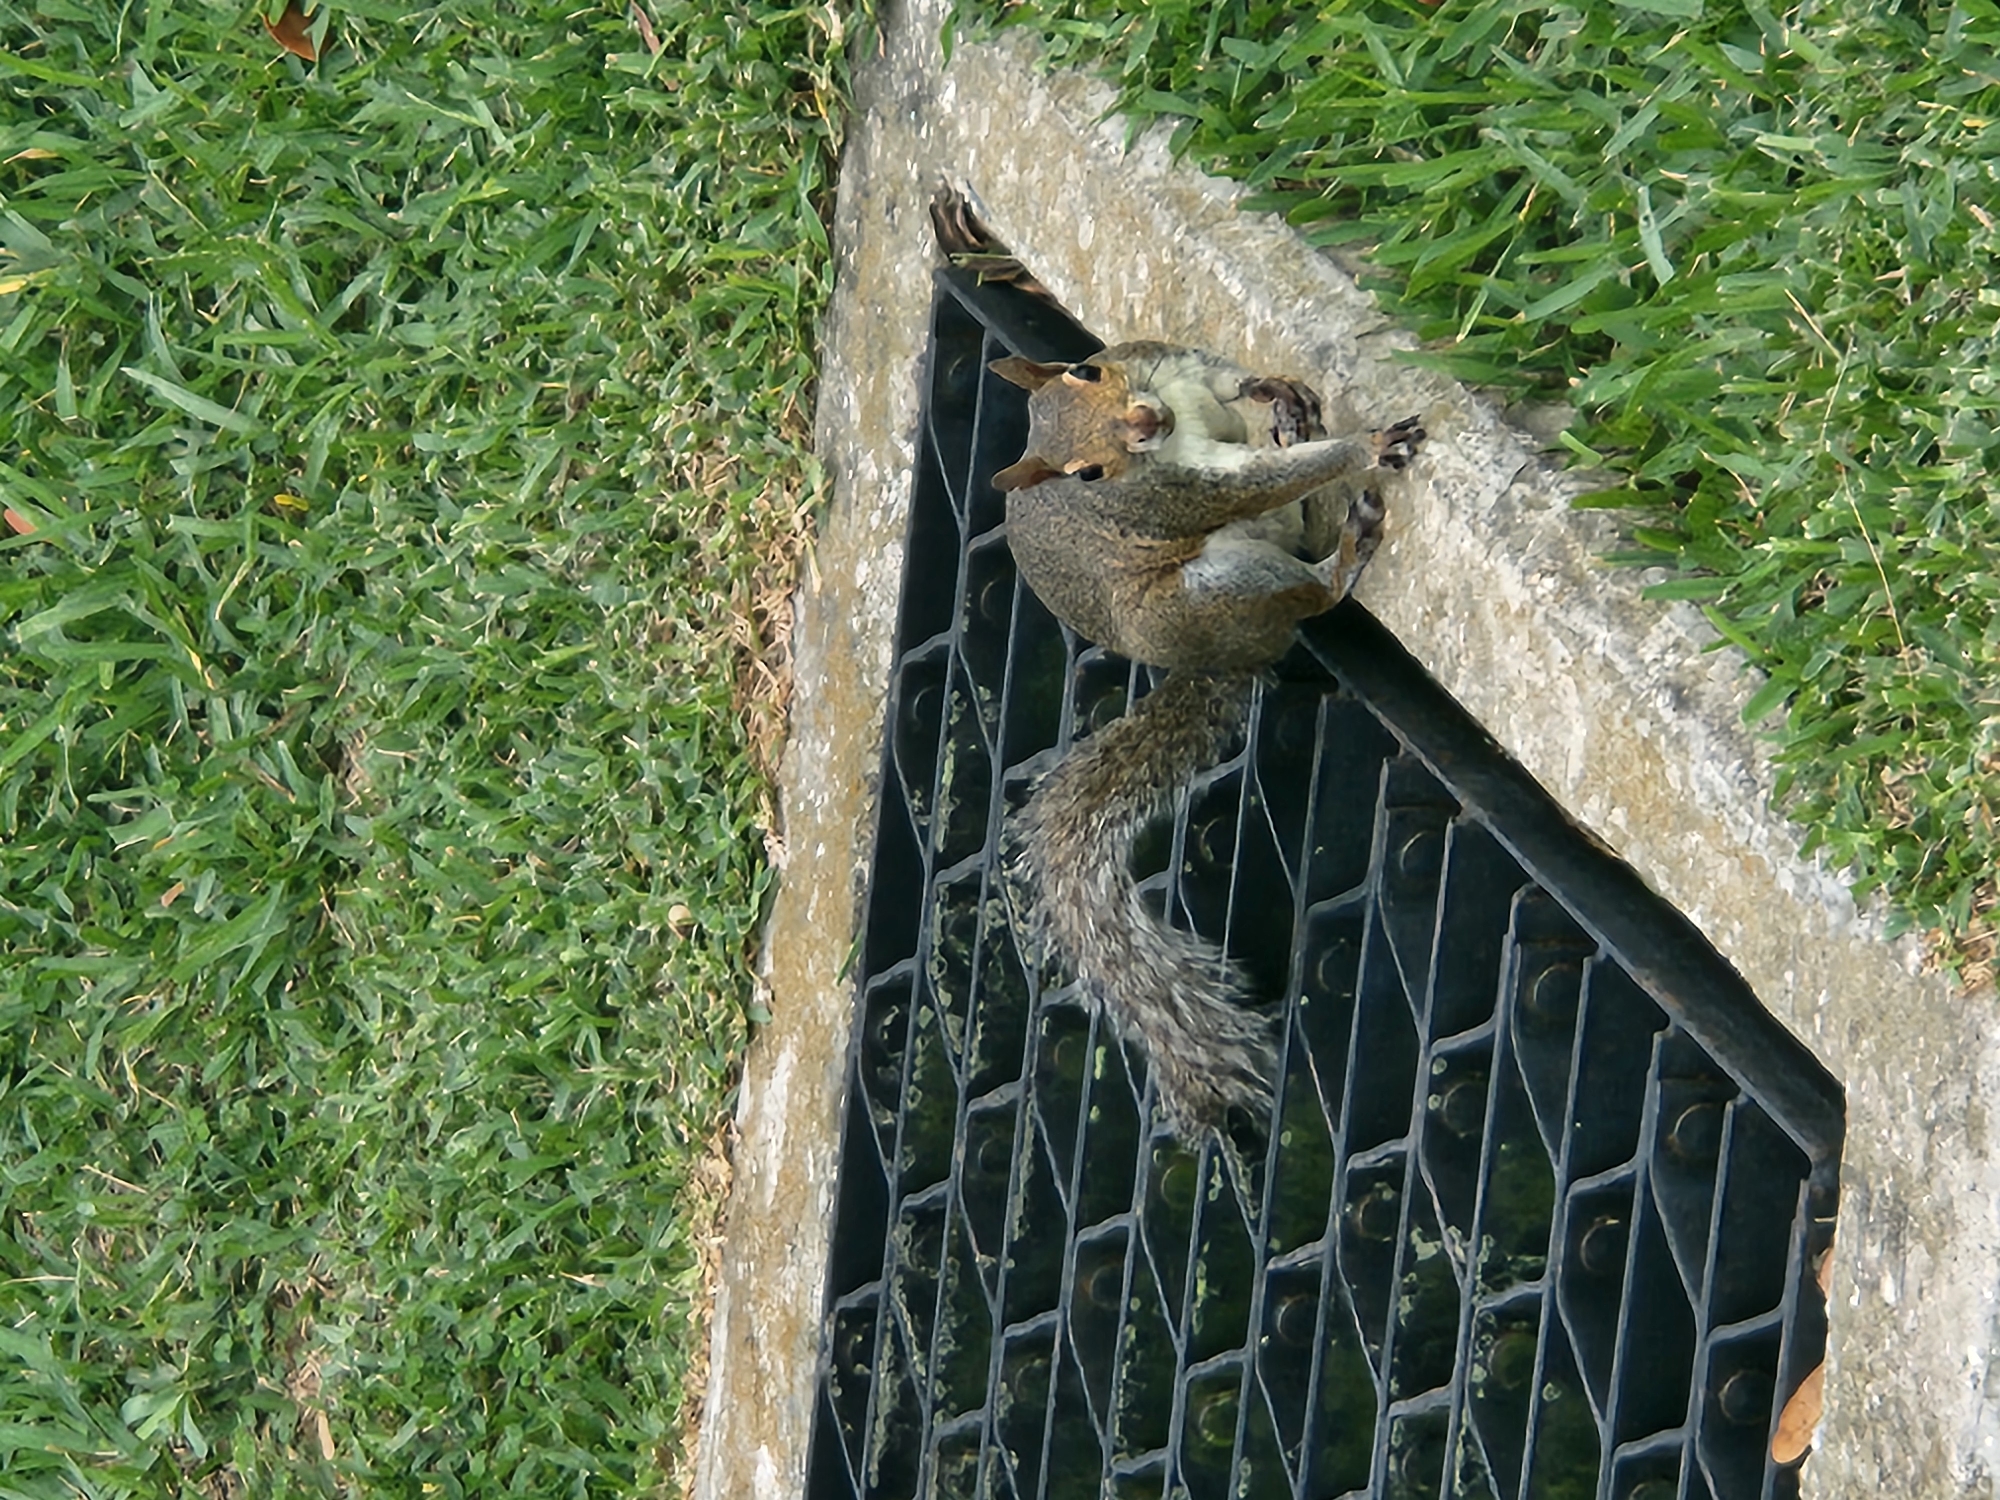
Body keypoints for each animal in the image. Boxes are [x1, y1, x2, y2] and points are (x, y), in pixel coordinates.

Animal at [990, 341, 1424, 1137]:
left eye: (1087, 371)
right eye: (1086, 475)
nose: (1141, 421)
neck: (1173, 434)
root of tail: (1221, 658)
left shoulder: (1160, 362)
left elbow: (1226, 378)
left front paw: (1276, 392)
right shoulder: (1185, 498)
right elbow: (1264, 482)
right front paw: (1368, 445)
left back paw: (1287, 427)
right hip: (1224, 585)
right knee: (1313, 592)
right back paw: (1349, 548)